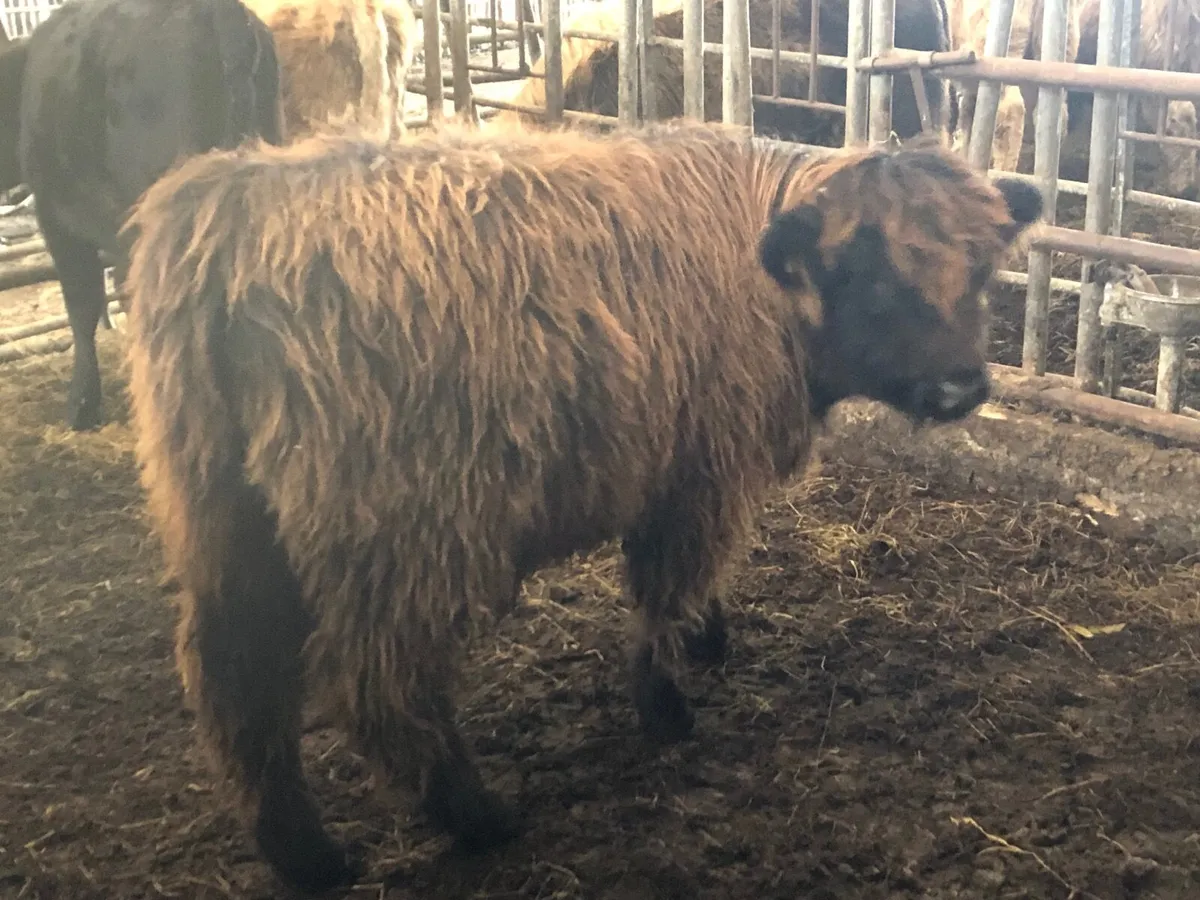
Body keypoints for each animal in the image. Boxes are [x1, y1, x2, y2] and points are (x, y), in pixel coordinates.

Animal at [121, 122, 1043, 893]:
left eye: (983, 271)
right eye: (871, 277)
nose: (962, 388)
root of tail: (232, 203)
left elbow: (688, 588)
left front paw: (708, 641)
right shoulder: (699, 476)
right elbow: (664, 592)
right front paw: (667, 708)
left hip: (227, 534)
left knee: (236, 684)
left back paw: (306, 856)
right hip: (407, 542)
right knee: (380, 687)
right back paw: (479, 819)